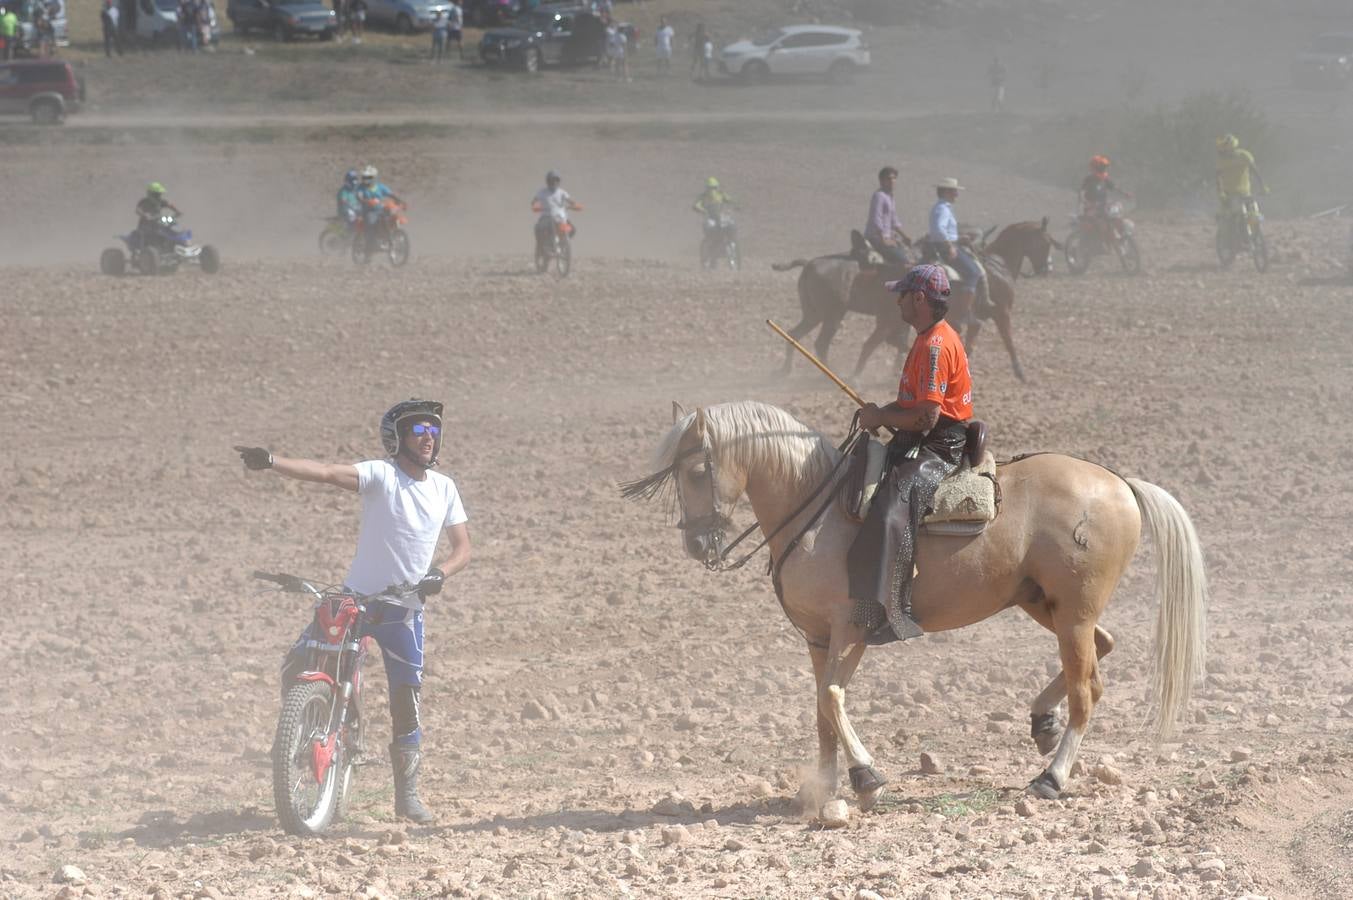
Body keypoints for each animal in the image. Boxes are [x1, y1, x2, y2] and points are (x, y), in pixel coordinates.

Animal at [627, 403, 1212, 817]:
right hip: (1042, 603)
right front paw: (824, 790)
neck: (819, 510)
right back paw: (1042, 721)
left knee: (1086, 690)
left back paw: (1050, 778)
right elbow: (820, 709)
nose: (697, 544)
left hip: (1071, 613)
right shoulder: (818, 638)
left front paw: (867, 779)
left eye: (697, 469)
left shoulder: (851, 628)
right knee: (1100, 654)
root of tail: (1120, 484)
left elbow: (833, 697)